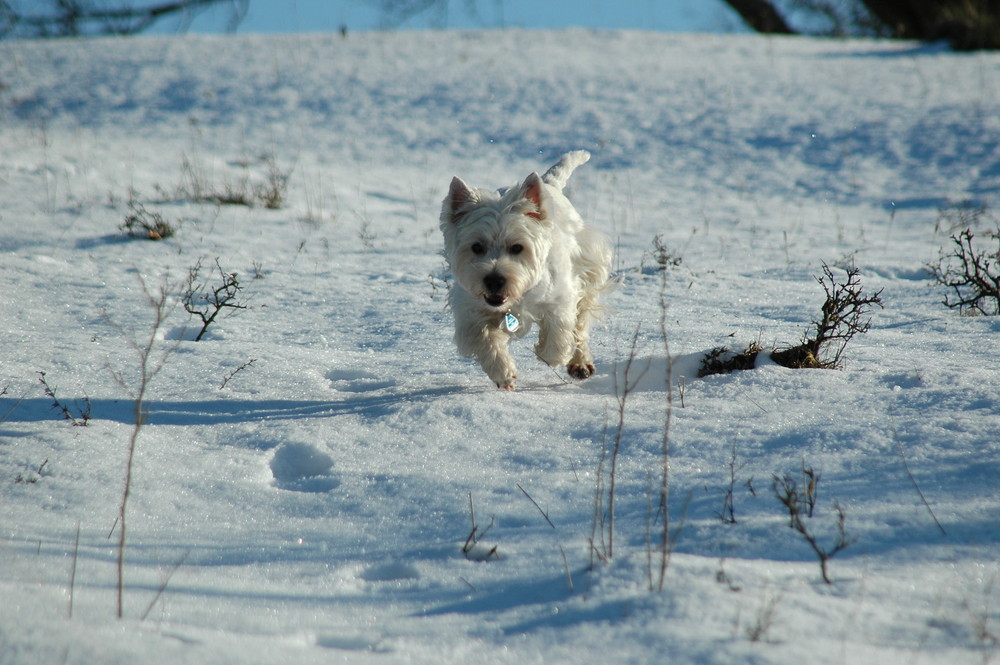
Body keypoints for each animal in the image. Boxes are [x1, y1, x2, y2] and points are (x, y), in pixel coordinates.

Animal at [438, 150, 608, 390]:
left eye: (517, 247)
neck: (516, 299)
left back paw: (580, 364)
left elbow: (559, 334)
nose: (494, 280)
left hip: (588, 267)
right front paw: (504, 373)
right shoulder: (469, 310)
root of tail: (548, 183)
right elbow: (484, 338)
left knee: (581, 321)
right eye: (476, 247)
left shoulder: (561, 296)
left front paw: (549, 354)